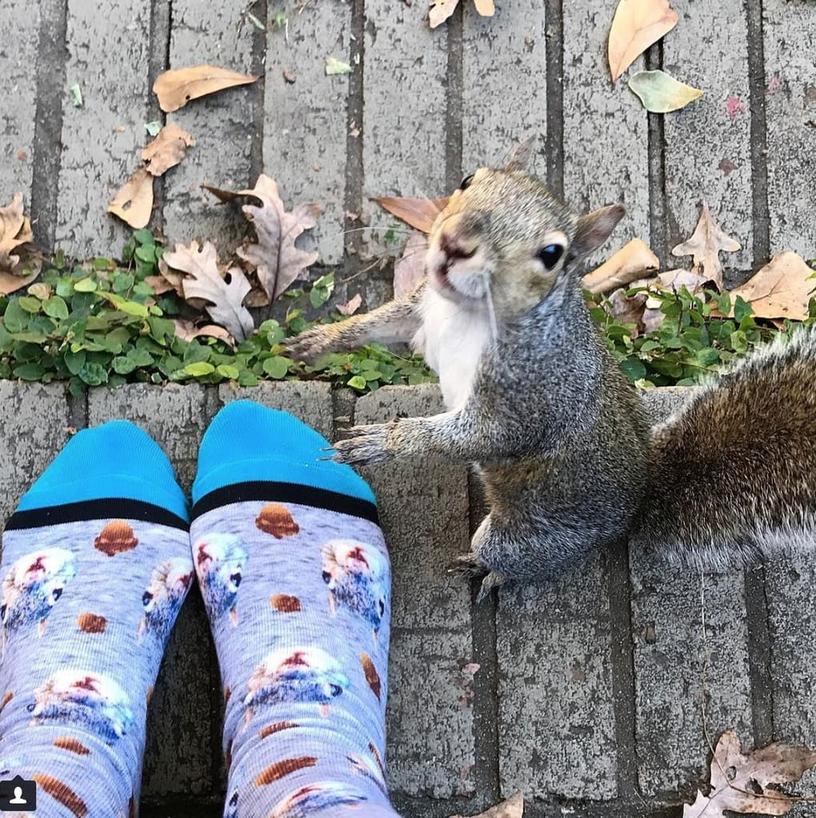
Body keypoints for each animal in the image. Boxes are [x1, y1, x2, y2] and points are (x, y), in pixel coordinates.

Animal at [286, 143, 816, 596]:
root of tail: (638, 498)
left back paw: (490, 571)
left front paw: (384, 441)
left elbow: (478, 436)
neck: (469, 316)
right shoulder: (423, 313)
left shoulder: (531, 399)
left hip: (525, 536)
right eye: (467, 179)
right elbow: (379, 324)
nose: (455, 243)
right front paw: (320, 340)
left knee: (516, 558)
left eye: (551, 254)